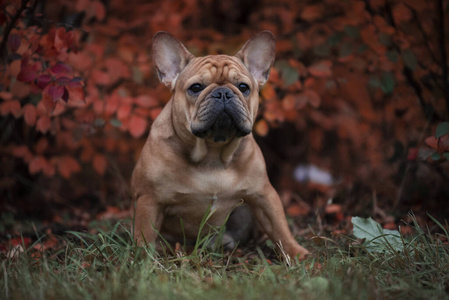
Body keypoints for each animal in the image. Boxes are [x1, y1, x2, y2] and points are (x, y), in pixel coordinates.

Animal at [131, 30, 310, 260]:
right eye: (195, 88)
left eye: (243, 87)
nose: (224, 92)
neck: (212, 152)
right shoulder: (149, 200)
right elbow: (144, 235)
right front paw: (143, 260)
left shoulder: (263, 195)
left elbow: (280, 228)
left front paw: (297, 253)